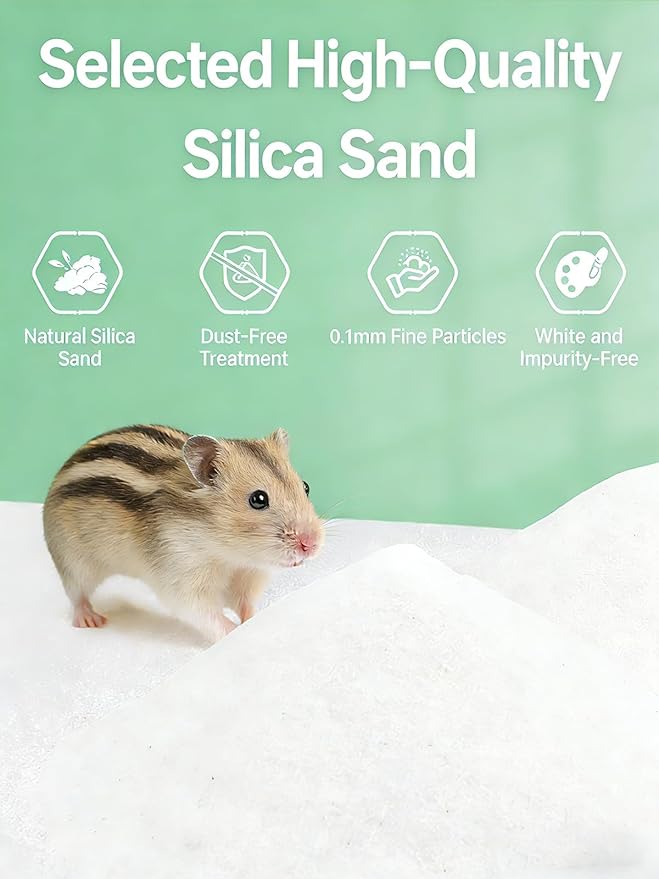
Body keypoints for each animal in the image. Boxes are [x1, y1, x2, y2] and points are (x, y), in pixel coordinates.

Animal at [43, 424, 324, 640]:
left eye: (305, 486)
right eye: (258, 499)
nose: (310, 545)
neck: (228, 552)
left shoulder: (248, 576)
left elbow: (245, 605)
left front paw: (254, 622)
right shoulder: (182, 576)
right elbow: (207, 615)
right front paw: (234, 633)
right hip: (74, 562)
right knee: (77, 595)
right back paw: (91, 620)